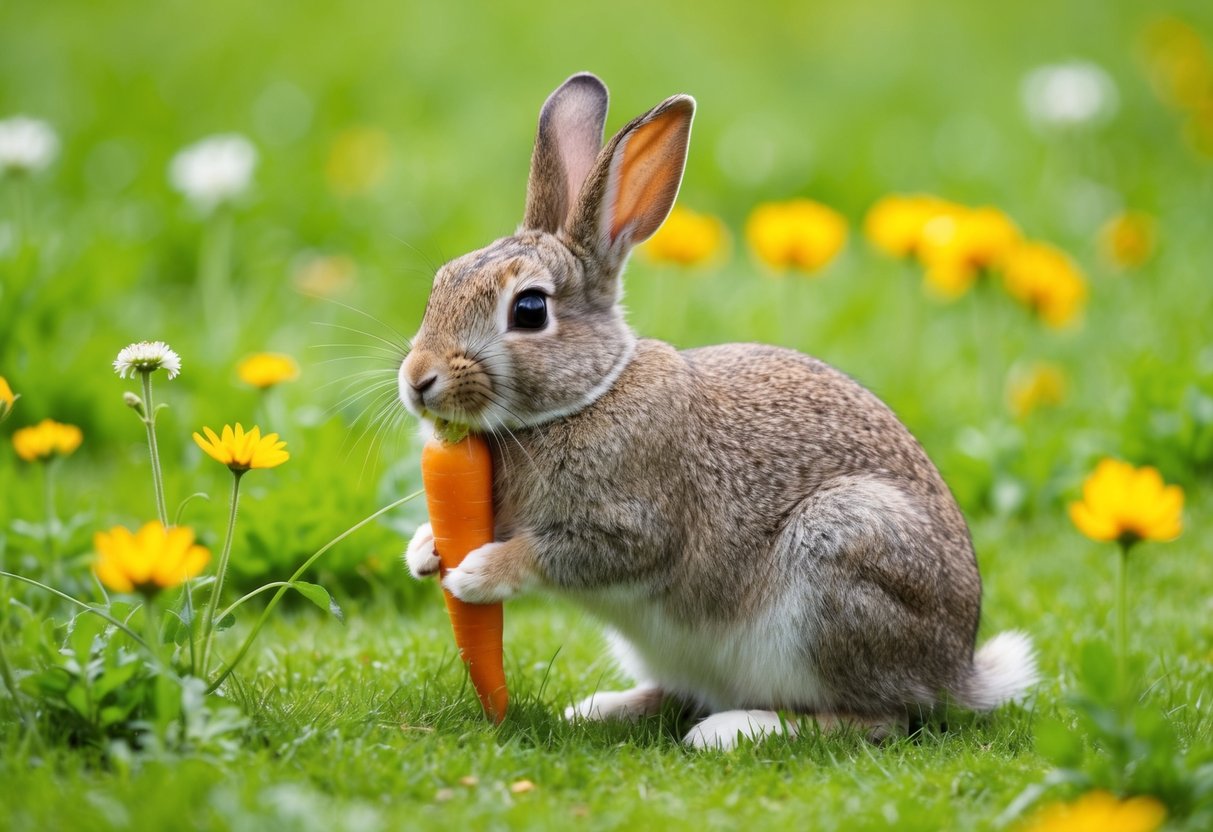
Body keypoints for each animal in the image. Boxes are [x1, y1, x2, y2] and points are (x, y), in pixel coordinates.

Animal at [398, 72, 1037, 750]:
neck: (587, 396)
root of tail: (955, 670)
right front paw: (425, 551)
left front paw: (475, 574)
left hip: (843, 559)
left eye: (529, 310)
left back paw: (733, 730)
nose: (417, 381)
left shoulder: (636, 526)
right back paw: (602, 708)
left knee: (877, 718)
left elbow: (562, 553)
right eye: (440, 282)